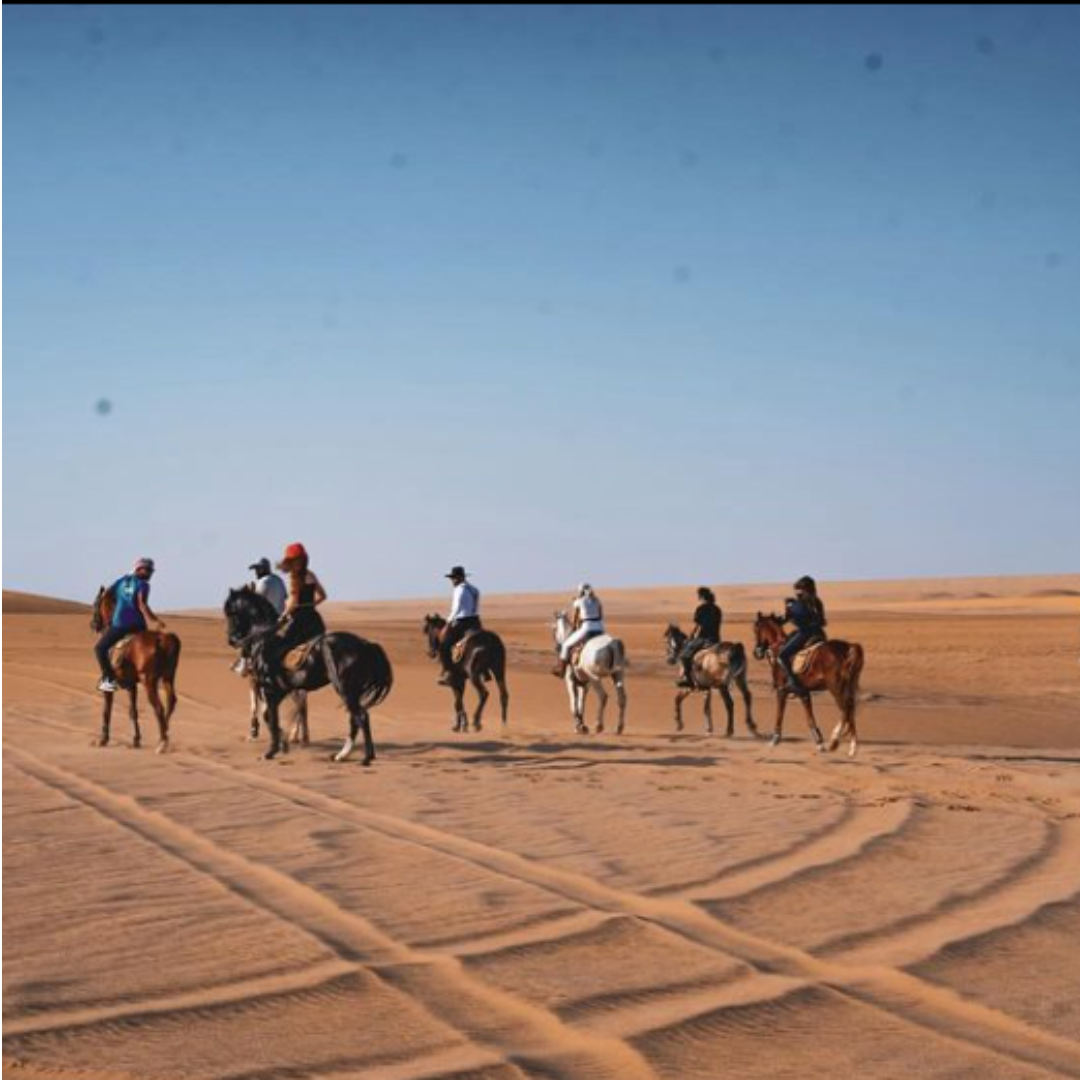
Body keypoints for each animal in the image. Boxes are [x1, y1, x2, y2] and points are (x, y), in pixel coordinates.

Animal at [90, 591, 181, 751]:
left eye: (95, 603)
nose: (93, 624)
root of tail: (162, 639)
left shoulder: (109, 687)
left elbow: (106, 711)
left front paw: (103, 739)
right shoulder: (131, 686)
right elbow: (133, 711)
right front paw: (136, 739)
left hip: (149, 682)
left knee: (159, 707)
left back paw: (162, 742)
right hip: (168, 678)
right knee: (171, 701)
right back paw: (165, 733)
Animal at [225, 587, 395, 764]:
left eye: (231, 612)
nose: (231, 640)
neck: (263, 639)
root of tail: (365, 644)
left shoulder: (270, 689)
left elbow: (271, 718)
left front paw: (271, 751)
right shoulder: (280, 690)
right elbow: (269, 716)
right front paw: (284, 743)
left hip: (345, 690)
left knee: (361, 717)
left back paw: (366, 758)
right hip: (353, 692)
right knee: (354, 719)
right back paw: (341, 755)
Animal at [756, 613, 864, 756]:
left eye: (755, 629)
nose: (756, 652)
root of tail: (849, 648)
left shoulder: (781, 691)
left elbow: (779, 715)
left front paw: (775, 739)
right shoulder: (803, 693)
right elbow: (810, 717)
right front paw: (819, 742)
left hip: (835, 687)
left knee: (846, 708)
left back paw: (836, 741)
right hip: (849, 686)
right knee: (850, 708)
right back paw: (851, 747)